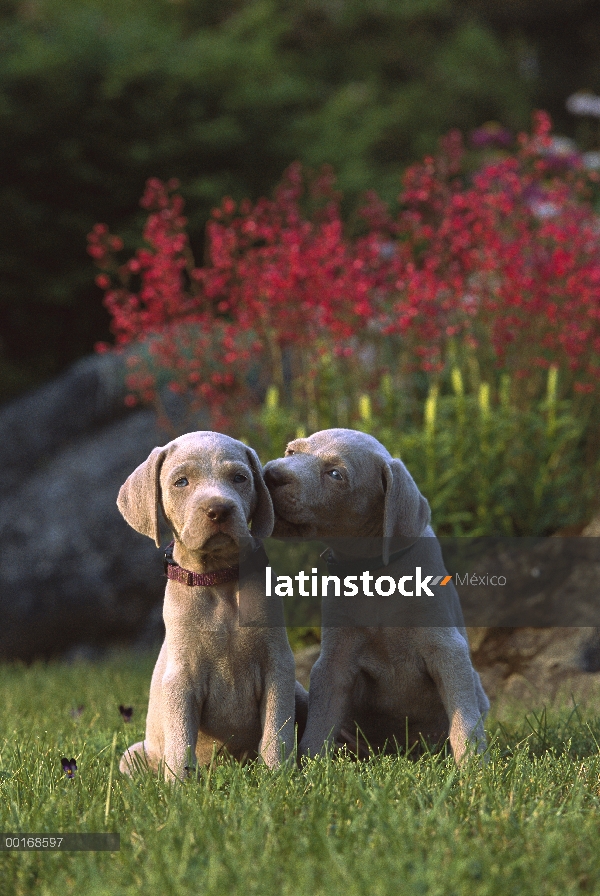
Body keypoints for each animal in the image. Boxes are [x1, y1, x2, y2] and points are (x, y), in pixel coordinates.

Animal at [116, 432, 308, 776]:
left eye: (239, 478)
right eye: (181, 482)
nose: (218, 510)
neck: (218, 581)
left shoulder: (278, 665)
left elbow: (278, 728)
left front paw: (279, 775)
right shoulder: (180, 678)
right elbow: (181, 739)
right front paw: (179, 785)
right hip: (132, 756)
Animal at [264, 428, 490, 764]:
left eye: (336, 474)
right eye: (291, 451)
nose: (271, 474)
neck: (374, 573)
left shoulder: (447, 648)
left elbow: (463, 719)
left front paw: (473, 767)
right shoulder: (335, 658)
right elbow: (320, 723)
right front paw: (311, 766)